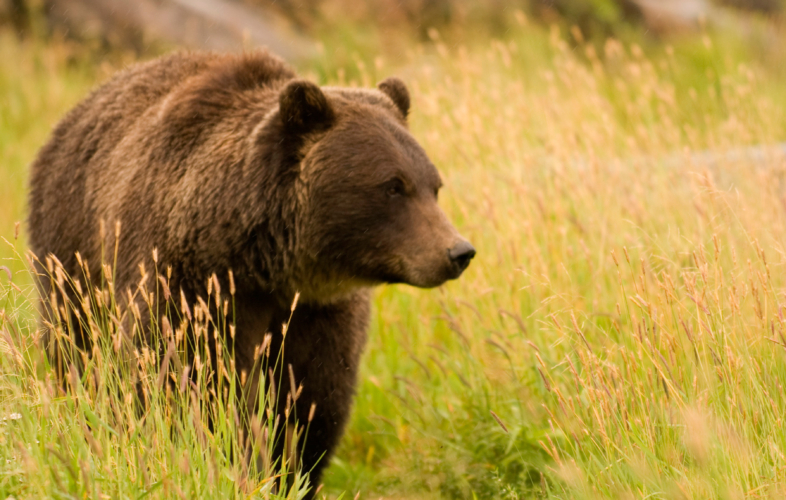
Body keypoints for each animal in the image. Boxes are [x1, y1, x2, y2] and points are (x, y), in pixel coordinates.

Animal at [27, 50, 474, 492]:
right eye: (393, 186)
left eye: (433, 185)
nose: (458, 251)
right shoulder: (188, 287)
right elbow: (190, 381)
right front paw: (229, 460)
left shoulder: (318, 312)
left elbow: (311, 398)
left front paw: (289, 470)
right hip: (72, 252)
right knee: (77, 350)